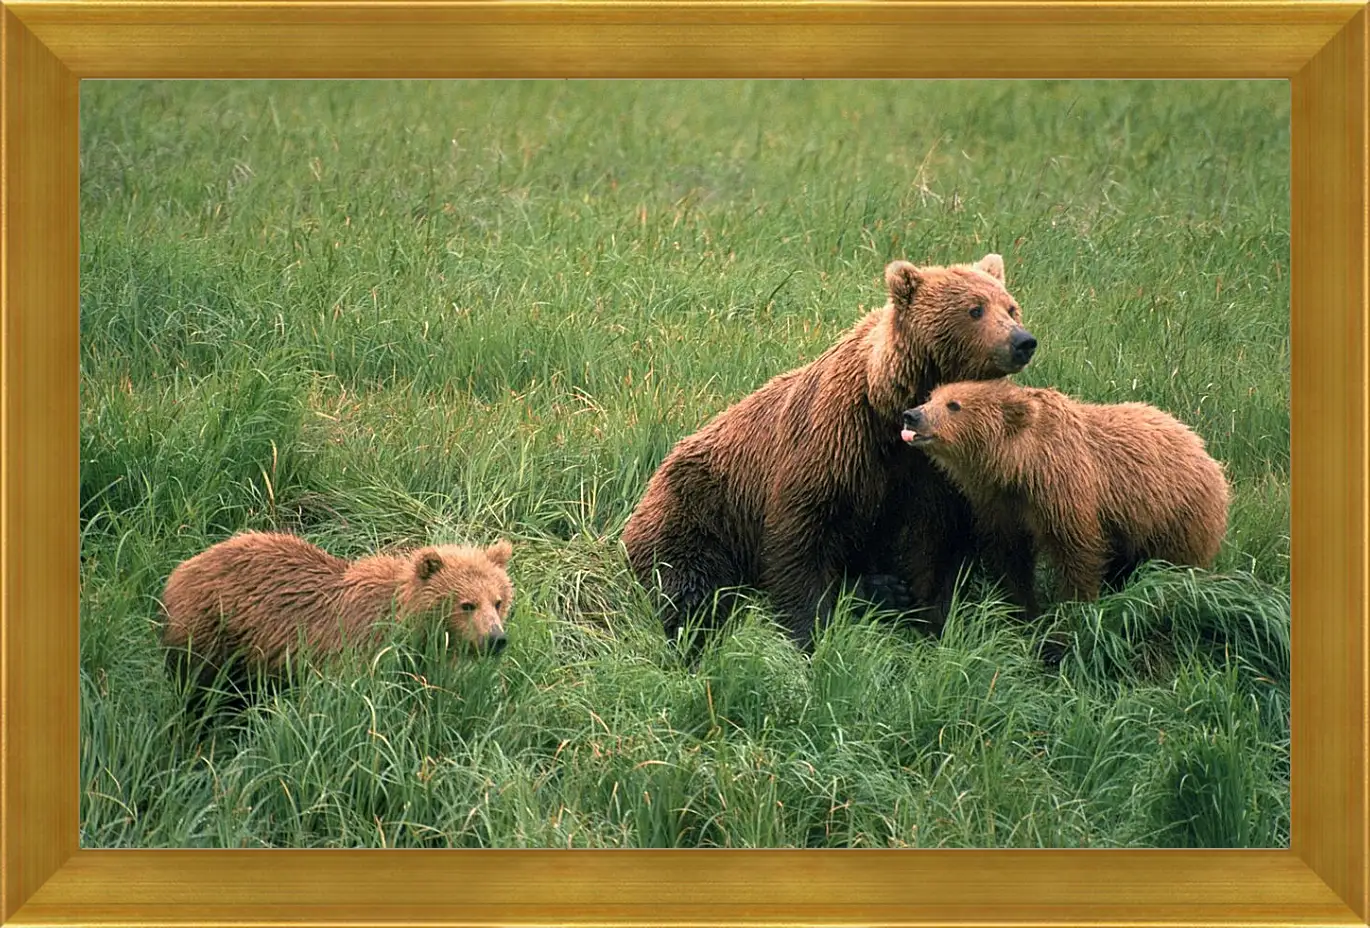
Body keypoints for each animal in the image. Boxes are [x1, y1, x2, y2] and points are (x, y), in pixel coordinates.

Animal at [624, 253, 1035, 644]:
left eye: (1011, 307)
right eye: (975, 309)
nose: (1022, 341)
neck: (894, 409)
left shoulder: (938, 471)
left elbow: (933, 545)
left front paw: (930, 619)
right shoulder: (837, 441)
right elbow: (803, 535)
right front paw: (807, 631)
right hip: (701, 510)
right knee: (686, 578)